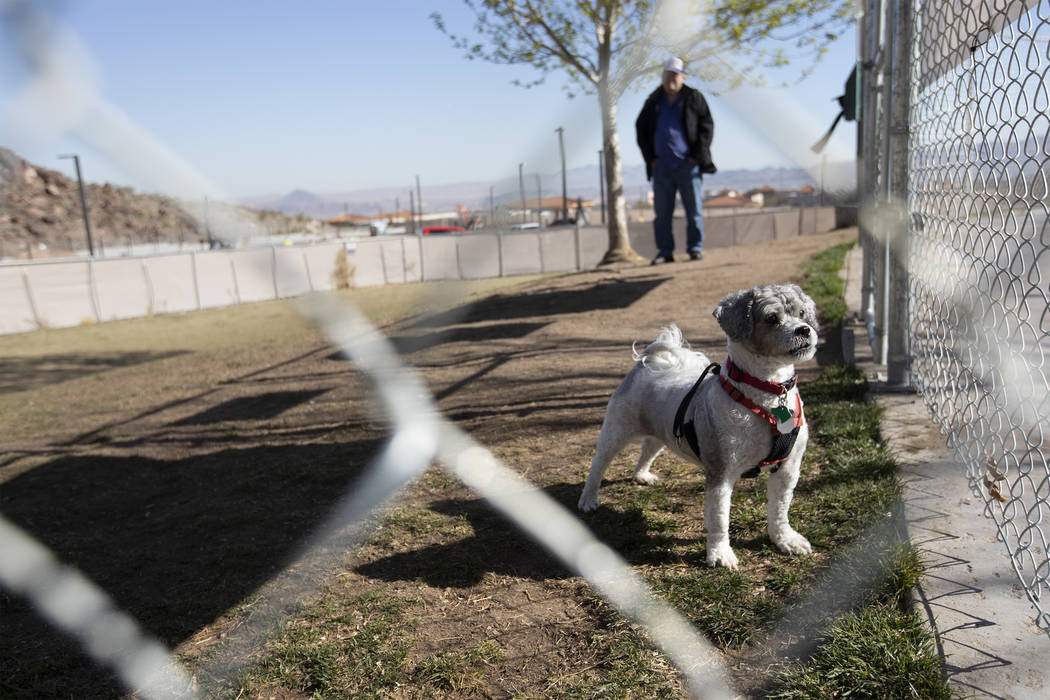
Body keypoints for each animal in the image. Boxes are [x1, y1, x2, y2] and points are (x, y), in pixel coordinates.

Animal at [579, 285, 814, 570]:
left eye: (802, 314)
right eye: (771, 318)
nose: (804, 330)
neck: (766, 396)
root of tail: (652, 363)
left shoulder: (788, 468)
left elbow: (780, 508)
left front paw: (784, 539)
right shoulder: (721, 472)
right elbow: (719, 518)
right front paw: (720, 554)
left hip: (663, 433)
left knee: (648, 448)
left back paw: (642, 475)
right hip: (616, 430)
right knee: (598, 465)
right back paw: (588, 499)